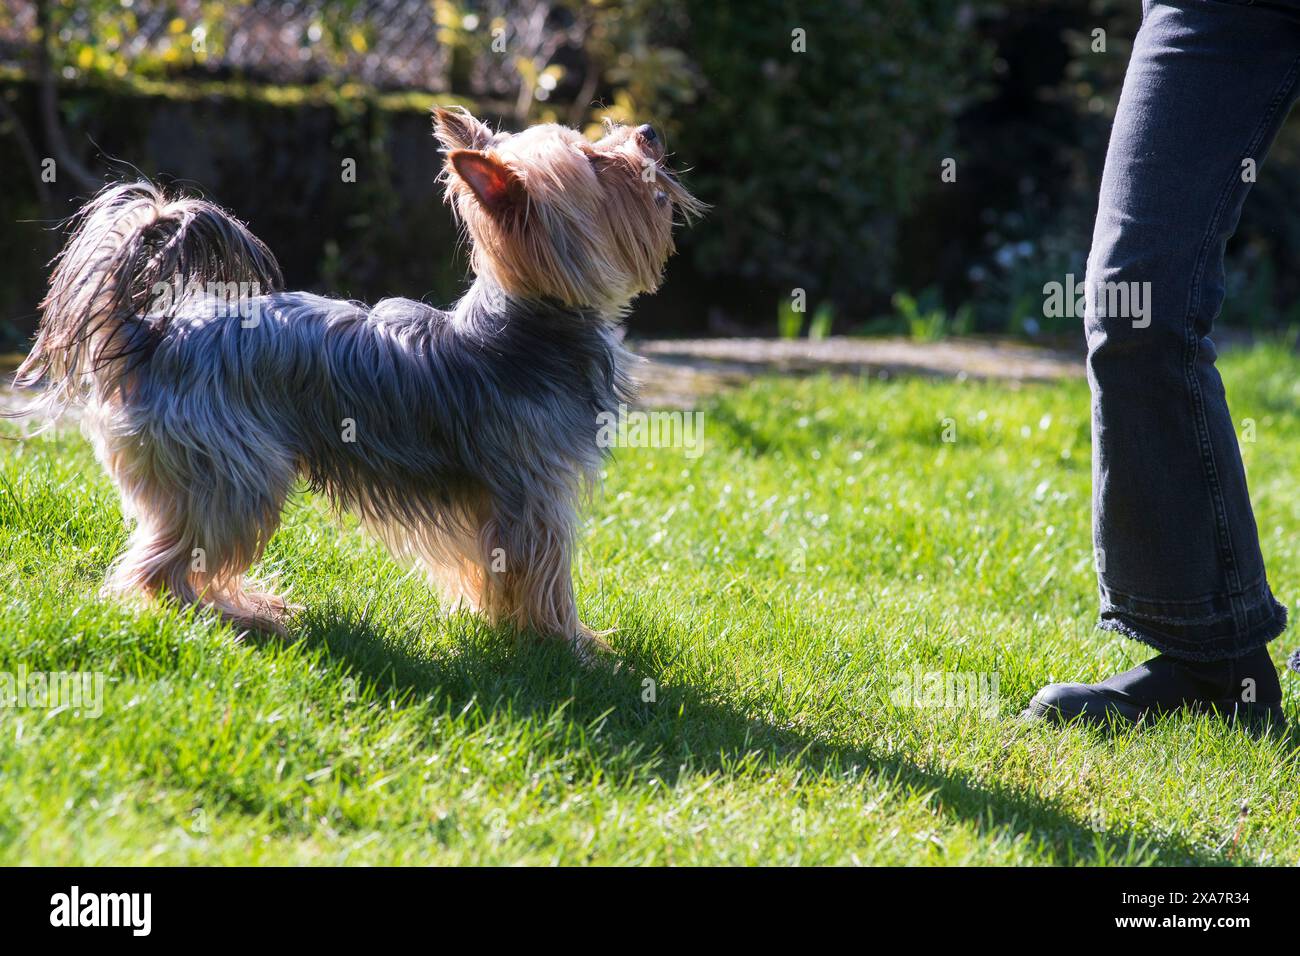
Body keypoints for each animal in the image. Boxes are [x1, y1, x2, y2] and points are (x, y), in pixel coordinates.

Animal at [12, 104, 702, 658]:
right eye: (595, 159)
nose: (651, 131)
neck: (532, 322)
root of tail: (150, 334)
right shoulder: (534, 496)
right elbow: (546, 577)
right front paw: (574, 649)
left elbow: (496, 574)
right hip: (236, 473)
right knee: (160, 571)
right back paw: (242, 618)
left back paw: (253, 605)